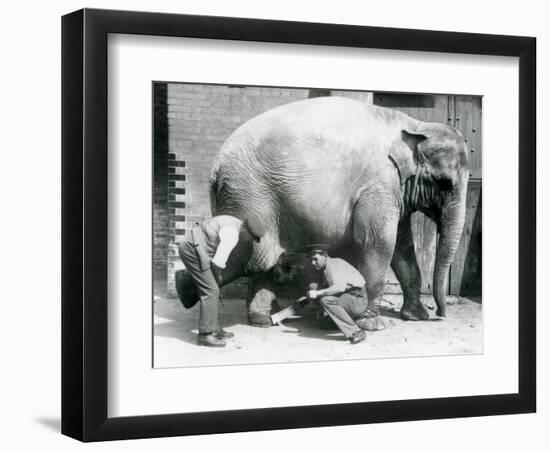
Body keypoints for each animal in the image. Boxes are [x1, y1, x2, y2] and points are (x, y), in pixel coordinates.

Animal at [203, 96, 470, 326]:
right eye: (444, 183)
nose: (440, 314)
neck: (415, 125)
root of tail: (215, 165)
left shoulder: (394, 190)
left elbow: (402, 247)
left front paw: (416, 317)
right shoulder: (378, 185)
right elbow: (378, 242)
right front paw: (372, 324)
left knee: (263, 260)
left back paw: (265, 318)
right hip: (249, 194)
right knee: (257, 257)